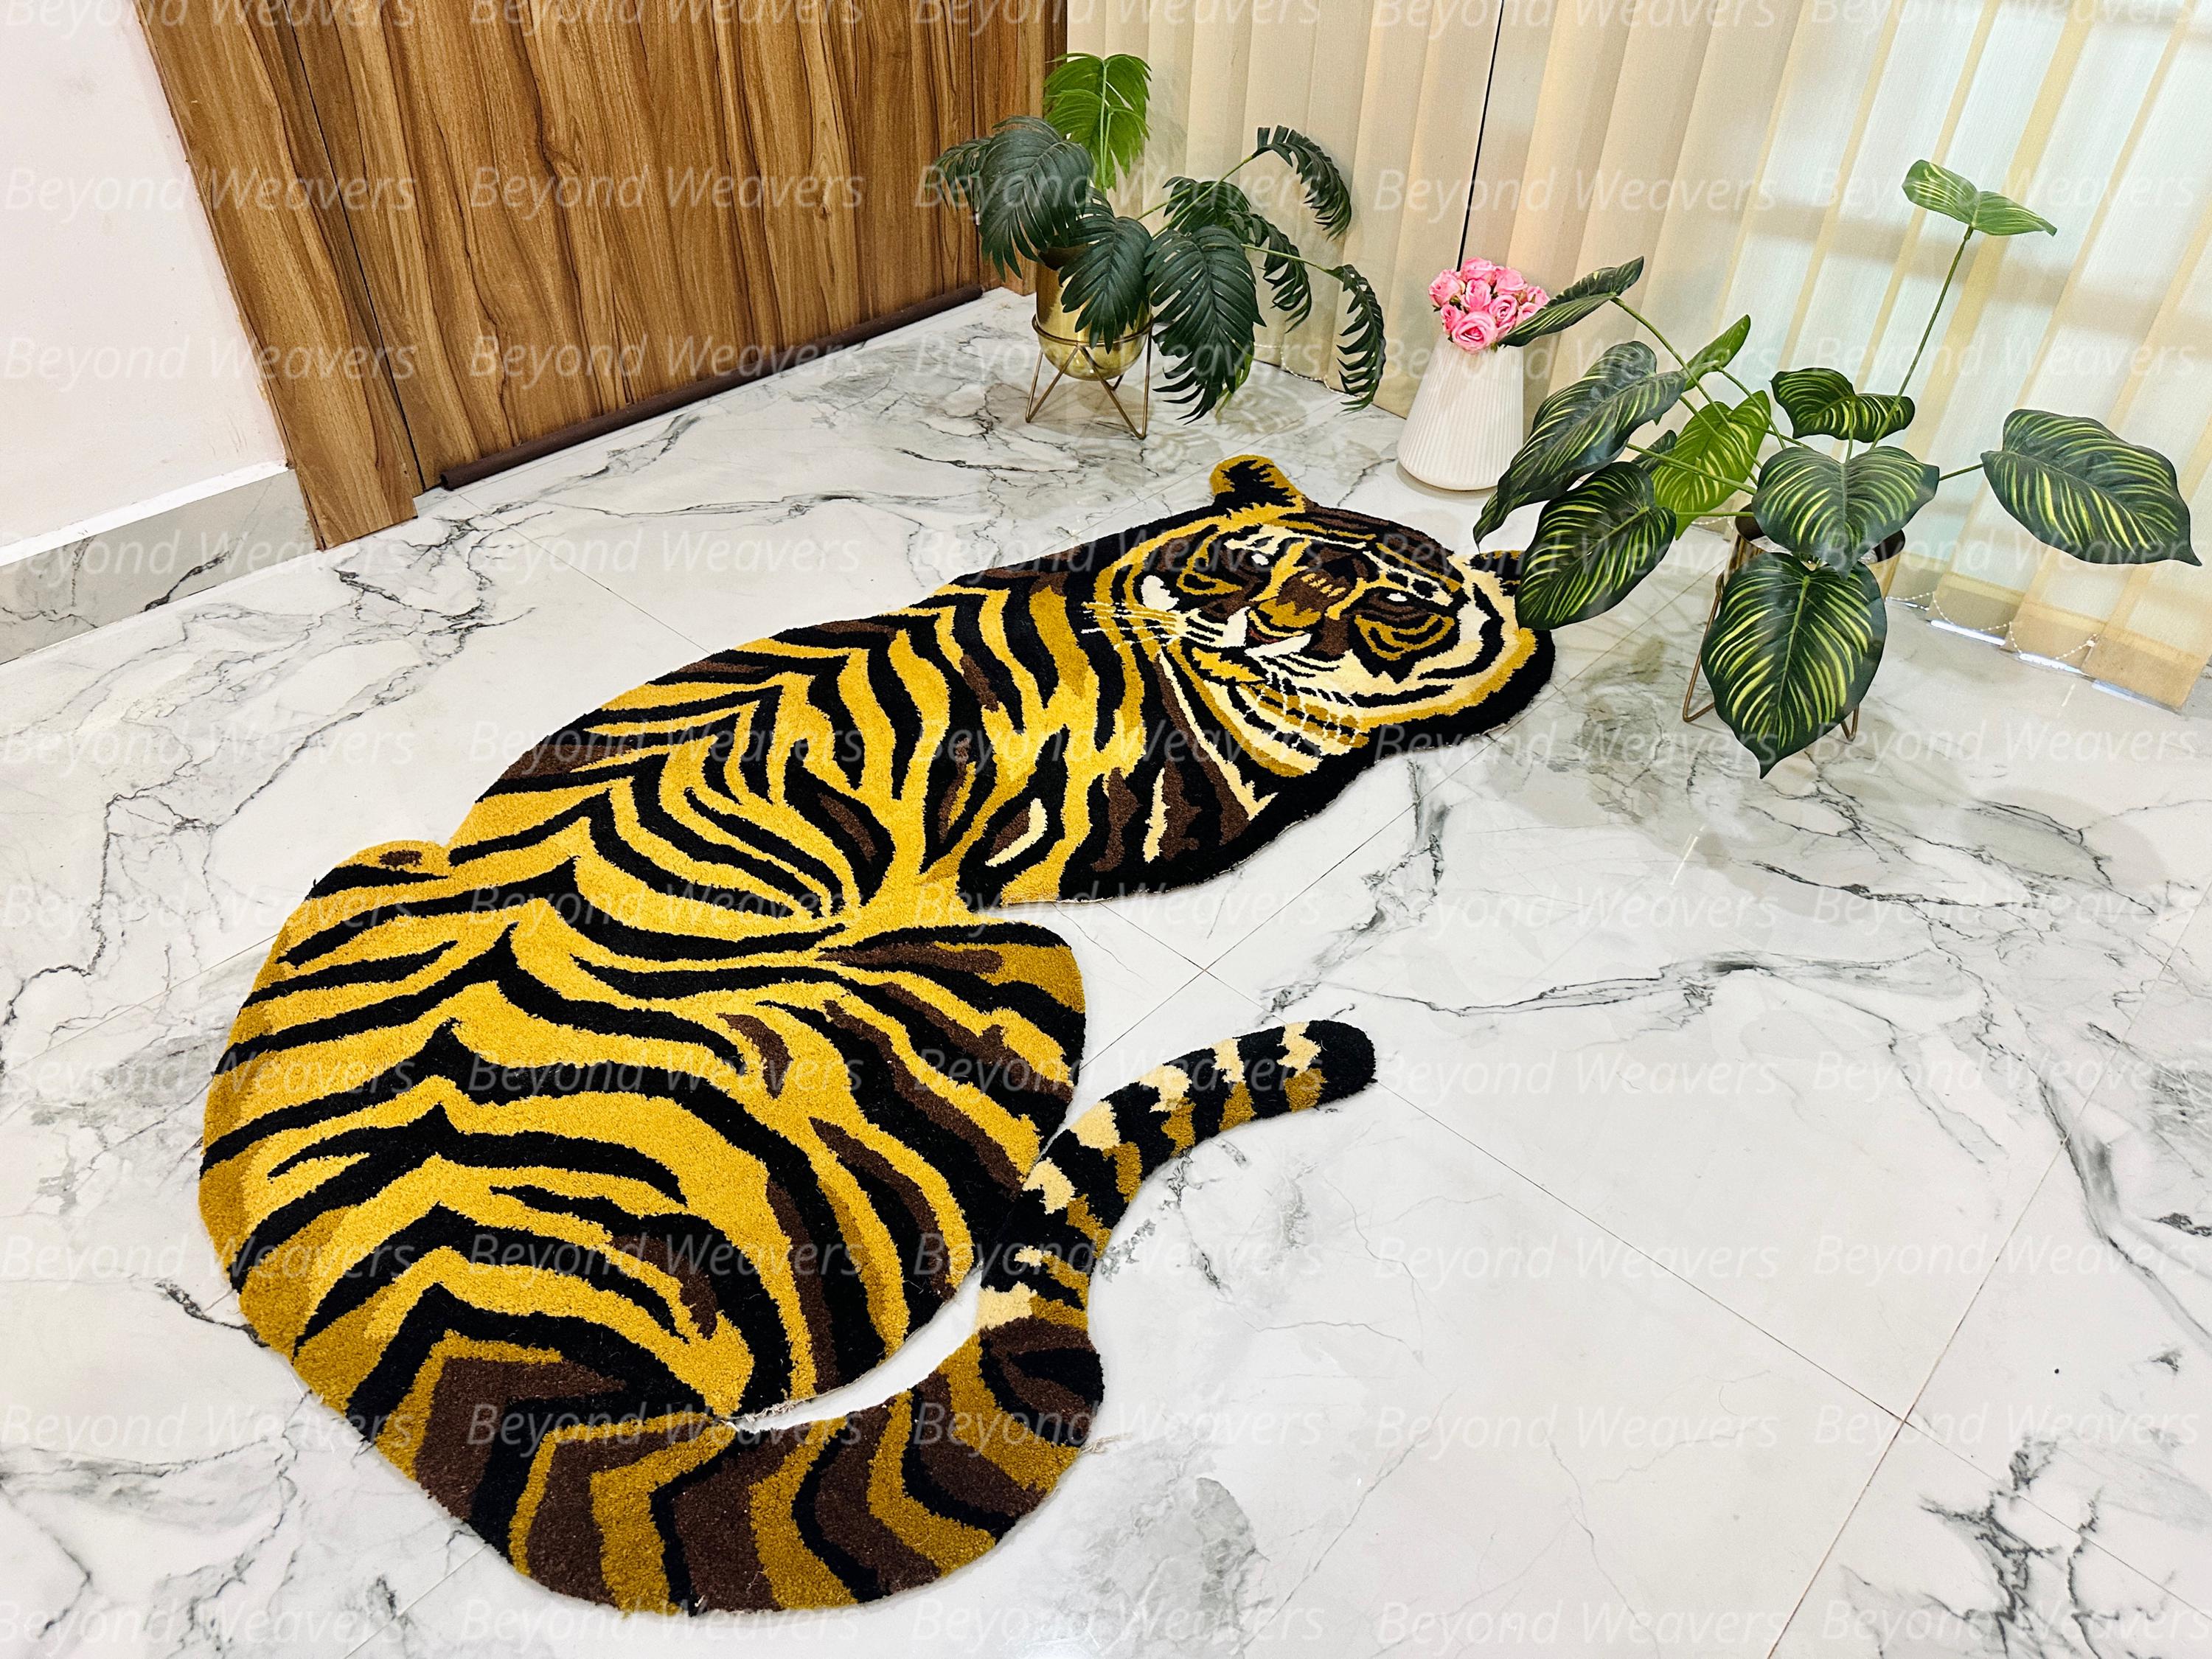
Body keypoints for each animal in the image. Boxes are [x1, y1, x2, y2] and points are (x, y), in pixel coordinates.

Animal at [200, 455, 1551, 1613]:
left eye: (1395, 605)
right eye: (1251, 567)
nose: (1283, 632)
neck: (1119, 605)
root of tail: (445, 1316)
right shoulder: (1185, 790)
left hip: (365, 871)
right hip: (1014, 973)